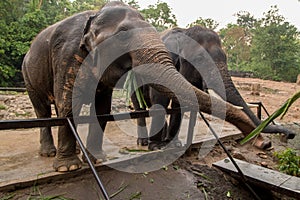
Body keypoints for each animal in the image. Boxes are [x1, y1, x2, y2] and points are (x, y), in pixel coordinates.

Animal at [22, 1, 258, 172]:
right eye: (200, 58)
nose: (259, 140)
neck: (96, 16)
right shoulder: (67, 54)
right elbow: (69, 104)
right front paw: (68, 167)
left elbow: (102, 109)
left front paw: (98, 159)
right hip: (28, 76)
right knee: (42, 109)